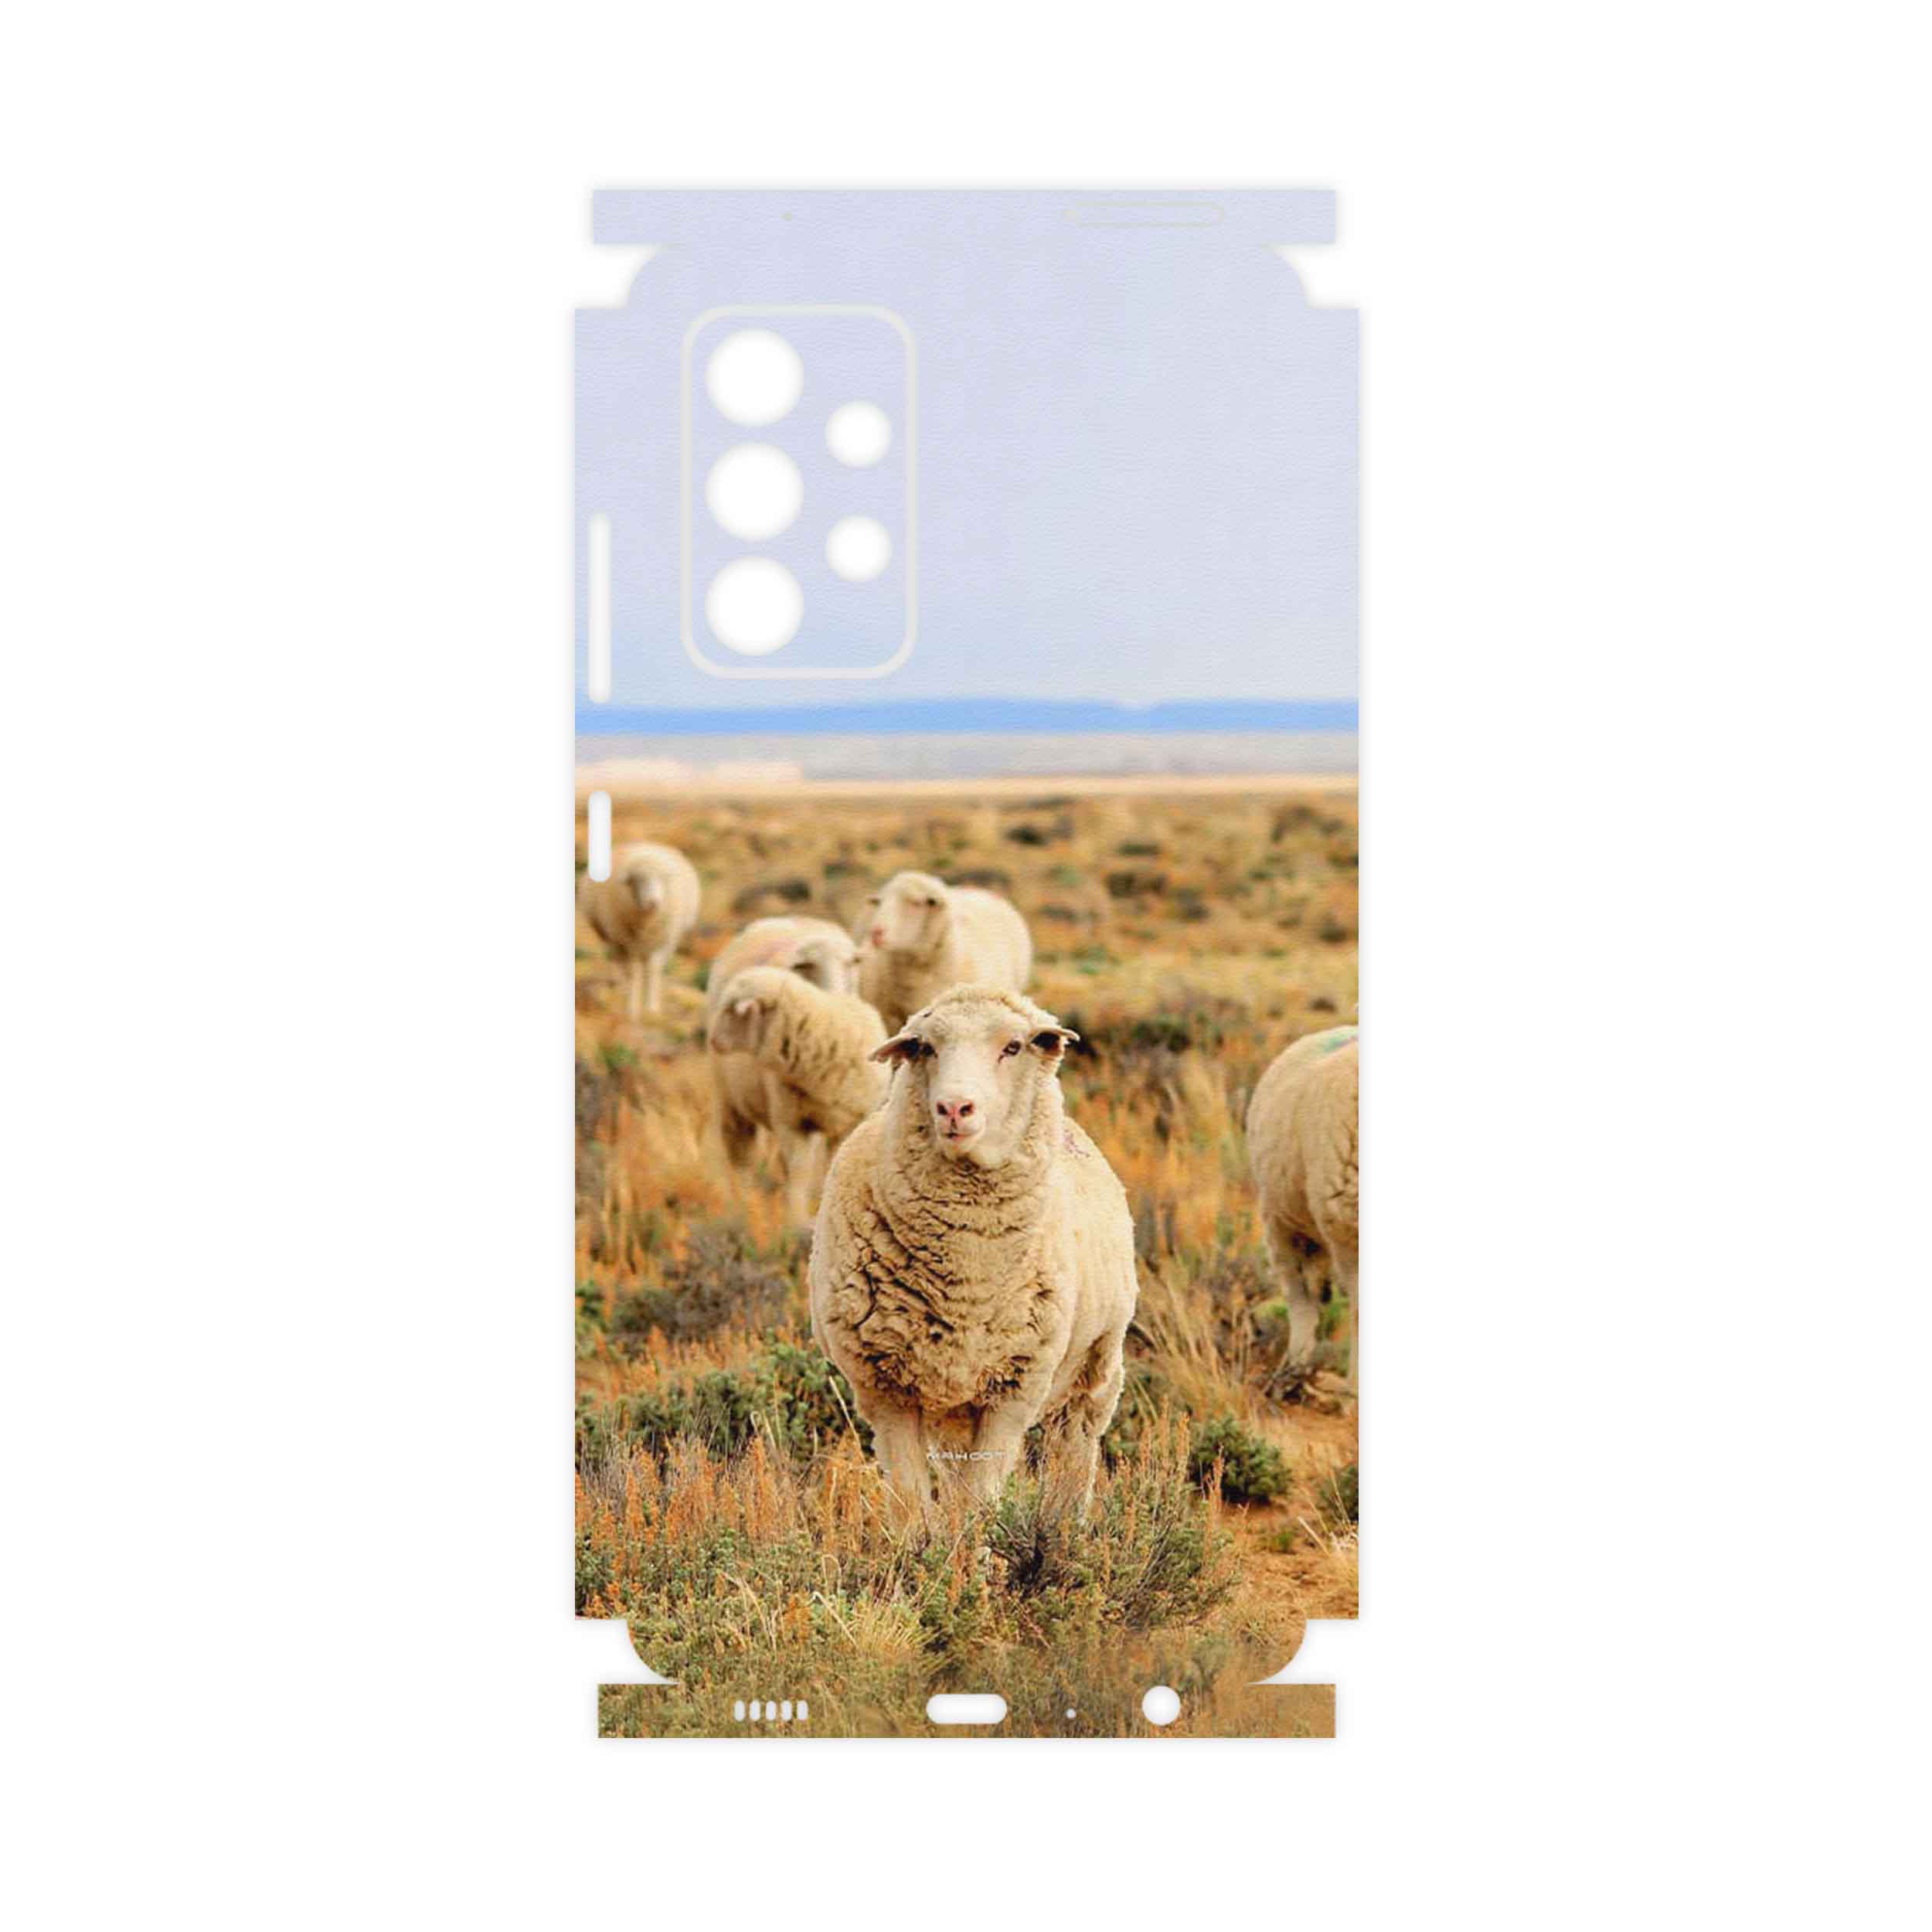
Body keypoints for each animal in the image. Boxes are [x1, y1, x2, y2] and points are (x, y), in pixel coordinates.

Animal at [578, 841, 701, 1019]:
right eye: (638, 880)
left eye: (662, 879)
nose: (653, 902)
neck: (647, 922)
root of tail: (645, 844)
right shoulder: (626, 942)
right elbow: (634, 973)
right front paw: (632, 1009)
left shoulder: (662, 942)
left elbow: (653, 971)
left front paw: (652, 1009)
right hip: (613, 938)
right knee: (620, 965)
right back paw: (621, 987)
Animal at [707, 966, 889, 1226]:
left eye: (733, 1010)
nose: (713, 1040)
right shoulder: (792, 1124)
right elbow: (799, 1172)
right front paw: (797, 1220)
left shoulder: (850, 1122)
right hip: (732, 1107)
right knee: (741, 1158)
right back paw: (744, 1207)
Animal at [809, 983, 1137, 1525]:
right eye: (925, 1048)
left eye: (1013, 1047)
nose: (954, 1108)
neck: (966, 1276)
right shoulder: (885, 1390)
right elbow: (912, 1504)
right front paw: (925, 1548)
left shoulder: (1013, 1390)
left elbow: (980, 1503)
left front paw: (976, 1549)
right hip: (952, 1407)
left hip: (1095, 1368)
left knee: (1074, 1448)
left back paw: (1066, 1526)